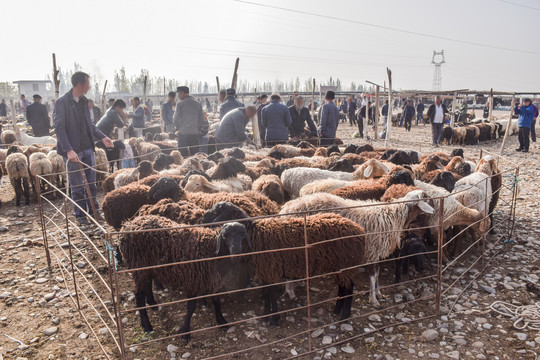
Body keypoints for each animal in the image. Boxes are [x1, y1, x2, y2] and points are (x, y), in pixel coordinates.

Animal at [120, 214, 251, 338]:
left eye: (243, 236)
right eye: (225, 236)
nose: (236, 253)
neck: (211, 248)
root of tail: (128, 224)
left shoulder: (213, 280)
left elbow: (216, 301)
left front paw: (221, 321)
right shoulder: (193, 280)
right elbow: (191, 307)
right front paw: (186, 331)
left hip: (147, 267)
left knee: (147, 284)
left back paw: (152, 303)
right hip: (138, 265)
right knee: (139, 295)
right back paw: (147, 325)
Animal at [205, 204, 370, 324]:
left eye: (215, 212)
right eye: (226, 235)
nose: (203, 220)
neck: (256, 234)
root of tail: (360, 231)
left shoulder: (271, 270)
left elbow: (271, 295)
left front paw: (274, 320)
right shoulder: (266, 271)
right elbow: (266, 293)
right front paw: (266, 315)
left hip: (347, 264)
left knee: (349, 288)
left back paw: (344, 315)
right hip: (339, 266)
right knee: (343, 287)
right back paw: (337, 310)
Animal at [278, 190, 434, 306]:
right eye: (426, 197)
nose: (433, 211)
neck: (394, 214)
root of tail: (286, 208)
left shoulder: (376, 253)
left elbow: (377, 274)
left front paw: (379, 293)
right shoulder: (372, 251)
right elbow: (373, 276)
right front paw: (374, 300)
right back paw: (291, 292)